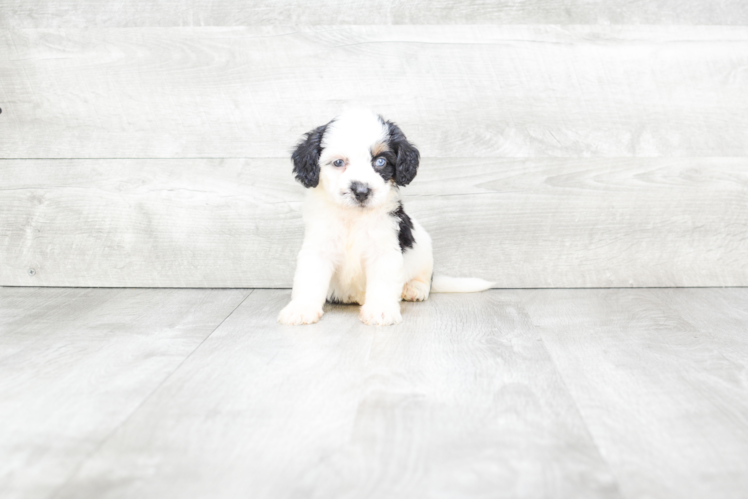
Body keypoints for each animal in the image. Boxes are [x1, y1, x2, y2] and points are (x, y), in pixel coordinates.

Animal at [278, 109, 494, 326]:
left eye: (380, 161)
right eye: (338, 162)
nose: (361, 191)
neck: (353, 217)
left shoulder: (384, 248)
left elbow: (383, 281)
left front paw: (380, 310)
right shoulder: (318, 247)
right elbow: (309, 278)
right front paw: (301, 309)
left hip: (423, 248)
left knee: (425, 278)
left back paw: (414, 288)